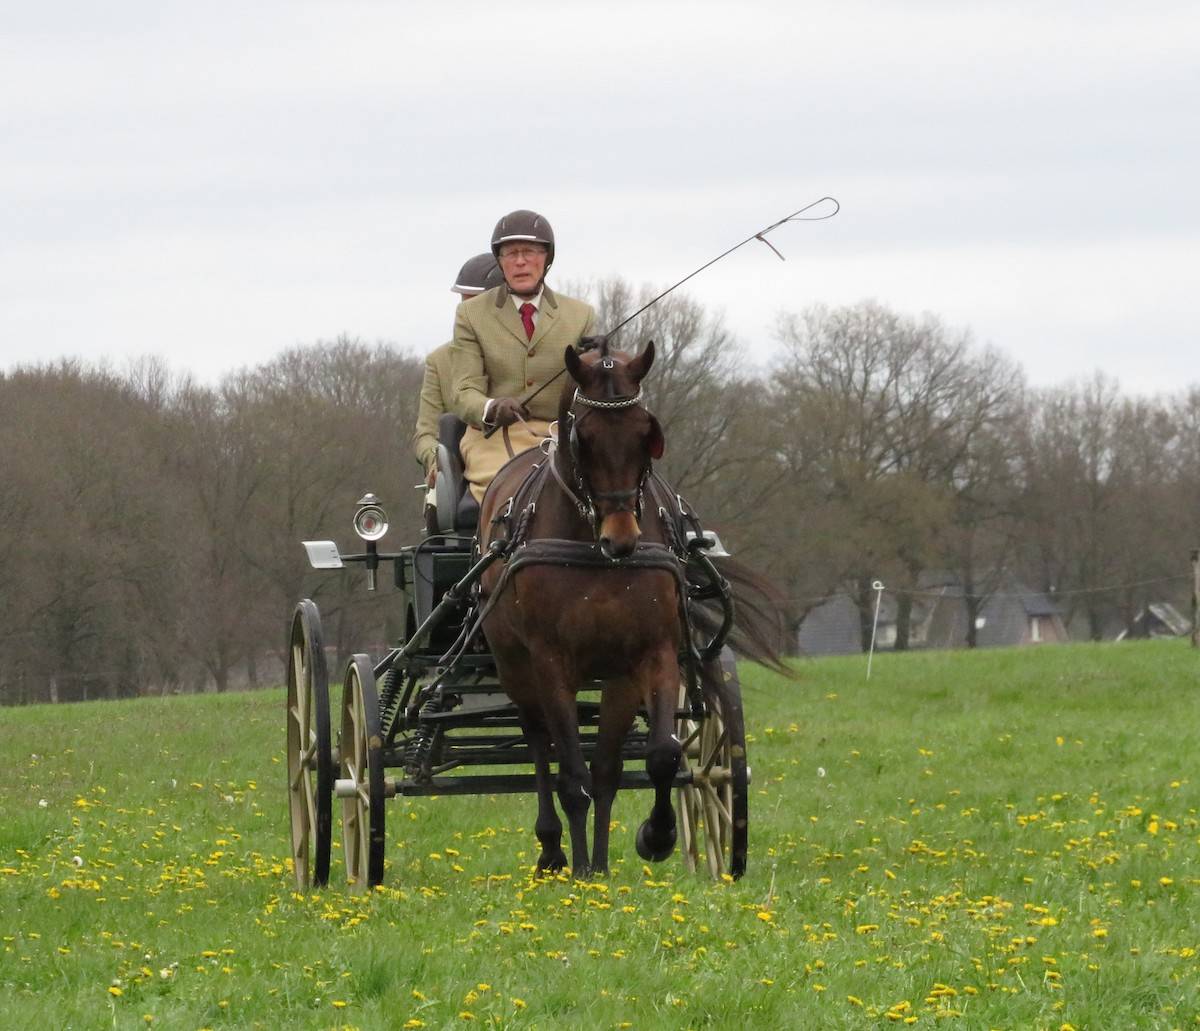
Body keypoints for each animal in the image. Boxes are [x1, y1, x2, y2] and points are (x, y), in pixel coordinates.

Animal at [472, 338, 792, 878]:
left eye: (647, 433)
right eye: (584, 438)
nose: (621, 539)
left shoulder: (646, 656)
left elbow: (649, 759)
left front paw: (649, 840)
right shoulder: (550, 663)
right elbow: (571, 774)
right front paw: (581, 868)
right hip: (516, 666)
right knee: (539, 744)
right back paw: (553, 850)